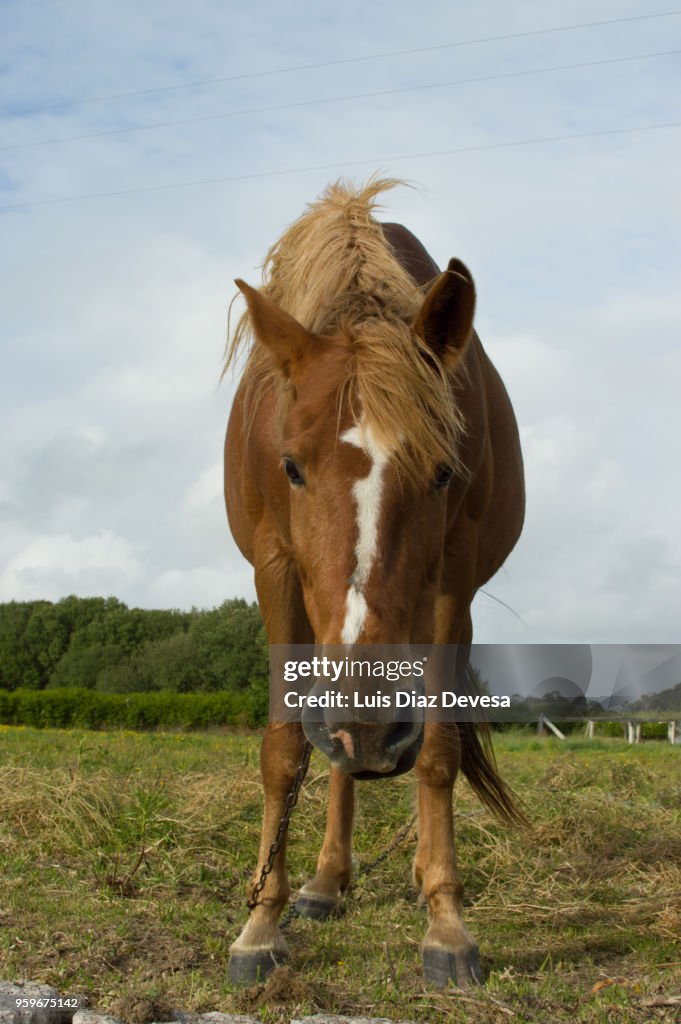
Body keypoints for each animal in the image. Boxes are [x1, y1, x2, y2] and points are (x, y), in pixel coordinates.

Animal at [220, 178, 522, 991]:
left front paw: (447, 925)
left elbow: (439, 750)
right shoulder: (275, 571)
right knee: (336, 755)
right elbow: (285, 750)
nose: (371, 725)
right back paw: (324, 884)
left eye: (443, 471)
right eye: (291, 465)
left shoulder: (451, 585)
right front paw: (259, 924)